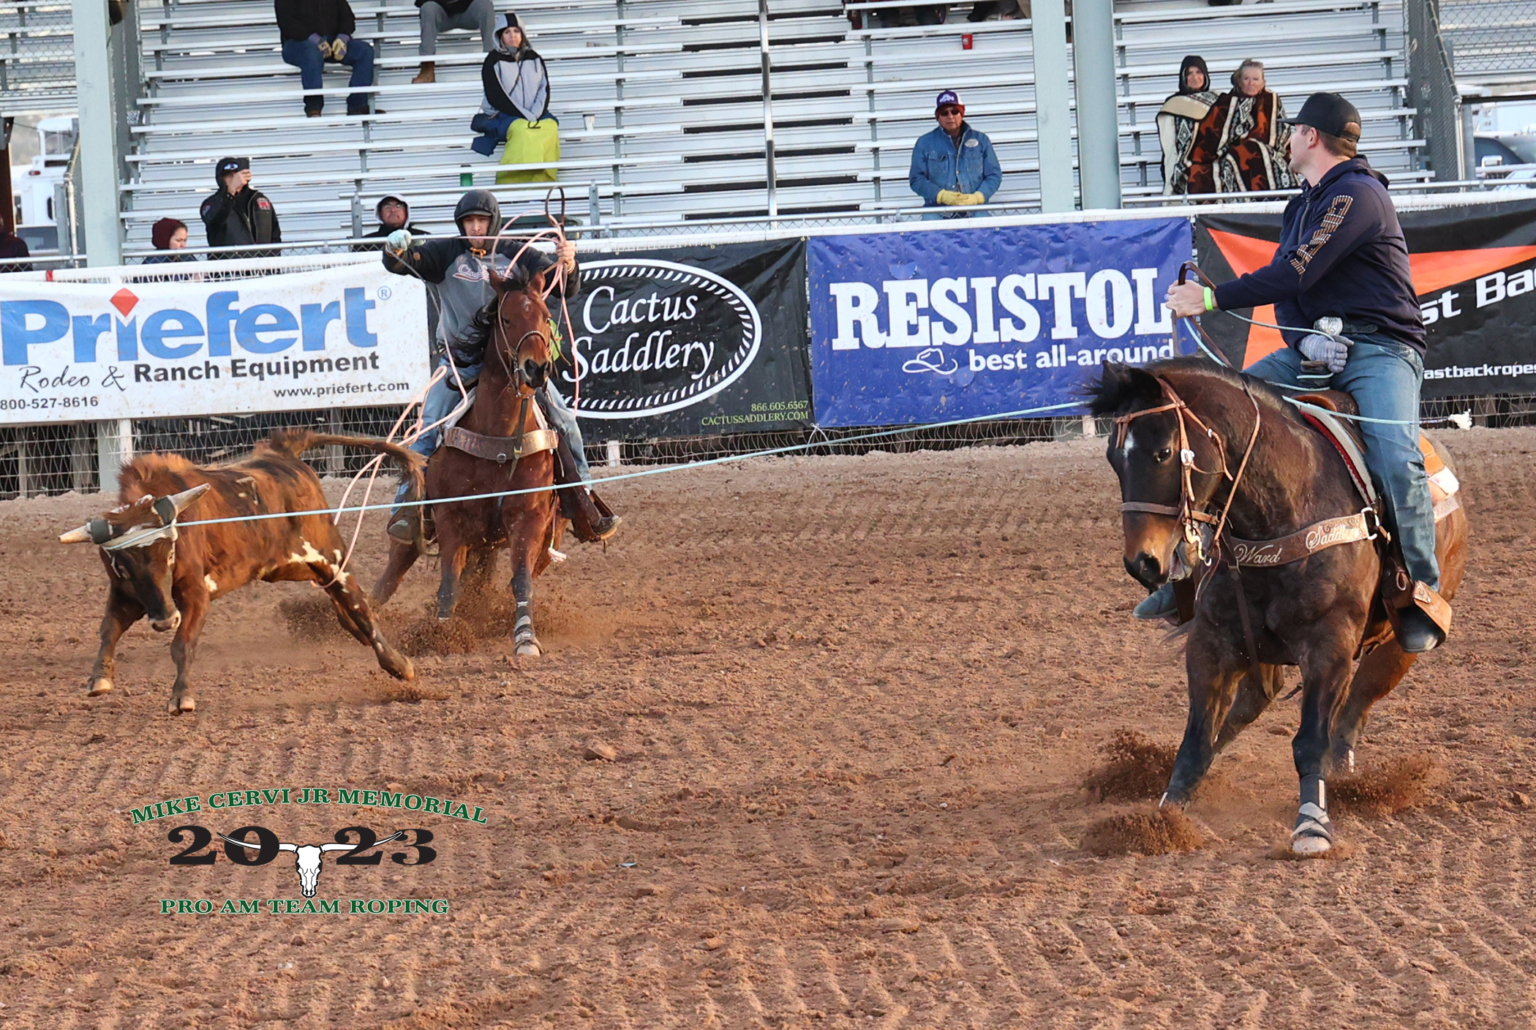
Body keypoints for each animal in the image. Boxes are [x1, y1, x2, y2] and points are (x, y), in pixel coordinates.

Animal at [371, 262, 565, 656]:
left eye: (546, 315)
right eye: (505, 318)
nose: (537, 369)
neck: (500, 437)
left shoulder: (528, 518)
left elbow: (521, 581)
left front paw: (525, 636)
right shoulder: (451, 518)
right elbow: (449, 582)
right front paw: (441, 631)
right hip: (419, 527)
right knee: (392, 574)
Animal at [1087, 359, 1468, 859]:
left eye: (1164, 452)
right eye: (1114, 457)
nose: (1142, 563)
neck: (1280, 511)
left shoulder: (1329, 647)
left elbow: (1310, 741)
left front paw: (1311, 824)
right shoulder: (1211, 642)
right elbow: (1196, 741)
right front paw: (1164, 814)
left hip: (1397, 649)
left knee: (1353, 708)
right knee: (1249, 707)